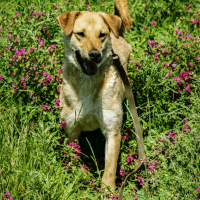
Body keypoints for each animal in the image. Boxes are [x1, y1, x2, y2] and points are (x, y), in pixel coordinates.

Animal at [57, 0, 133, 188]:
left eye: (102, 35)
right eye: (80, 34)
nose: (94, 55)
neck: (88, 83)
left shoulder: (112, 130)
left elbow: (110, 168)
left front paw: (108, 190)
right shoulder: (71, 128)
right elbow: (75, 157)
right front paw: (80, 176)